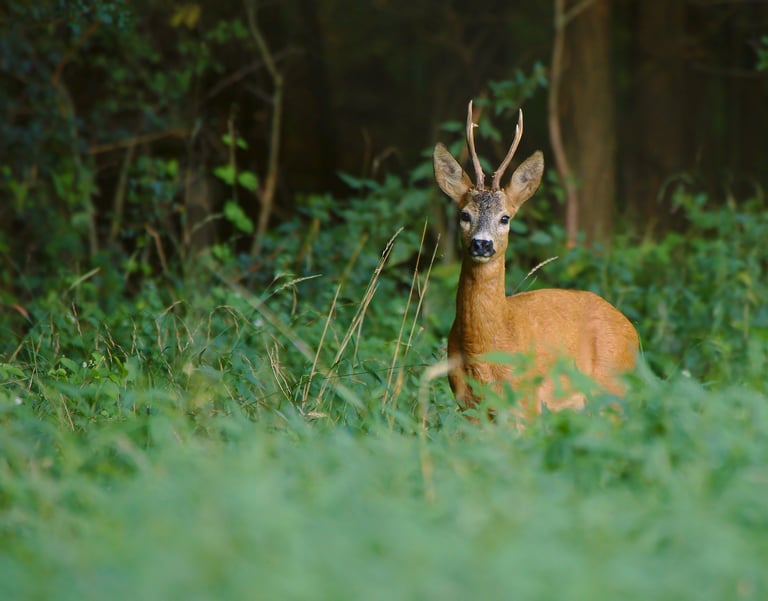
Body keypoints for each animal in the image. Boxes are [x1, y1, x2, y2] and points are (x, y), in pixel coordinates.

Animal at [433, 101, 639, 420]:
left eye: (505, 218)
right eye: (464, 215)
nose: (482, 244)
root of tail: (633, 332)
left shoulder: (525, 402)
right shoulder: (467, 404)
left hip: (614, 390)